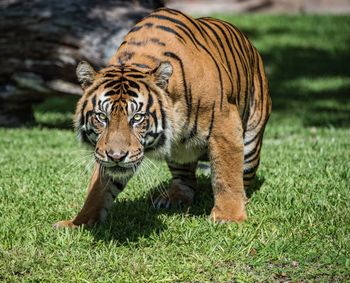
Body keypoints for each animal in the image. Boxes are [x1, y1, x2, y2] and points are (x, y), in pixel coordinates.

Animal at [54, 7, 270, 229]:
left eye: (137, 118)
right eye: (101, 117)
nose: (116, 157)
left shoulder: (224, 125)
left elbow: (226, 175)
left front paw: (229, 217)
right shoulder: (103, 147)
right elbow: (98, 188)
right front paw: (78, 222)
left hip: (251, 143)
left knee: (242, 175)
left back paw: (242, 198)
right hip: (178, 153)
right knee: (185, 179)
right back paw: (173, 198)